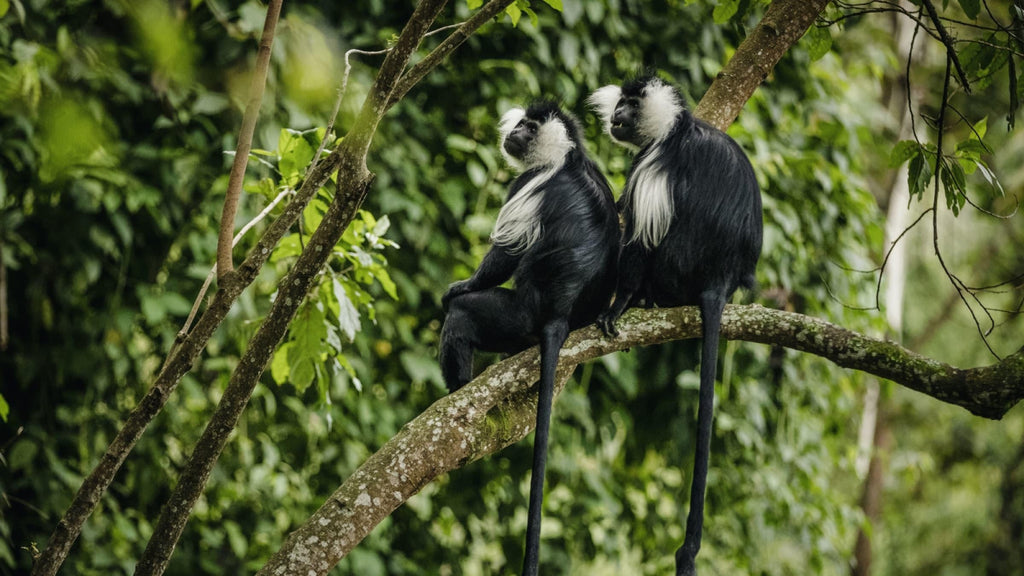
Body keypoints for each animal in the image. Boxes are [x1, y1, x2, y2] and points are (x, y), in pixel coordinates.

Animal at [439, 101, 620, 576]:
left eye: (530, 127)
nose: (515, 131)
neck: (566, 156)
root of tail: (558, 314)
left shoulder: (528, 185)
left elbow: (504, 255)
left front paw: (460, 286)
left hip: (515, 316)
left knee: (464, 318)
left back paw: (458, 389)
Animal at [588, 74, 762, 576]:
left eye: (630, 105)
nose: (615, 116)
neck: (674, 128)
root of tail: (720, 278)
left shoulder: (653, 164)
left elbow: (639, 239)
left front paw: (618, 305)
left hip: (675, 267)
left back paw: (643, 298)